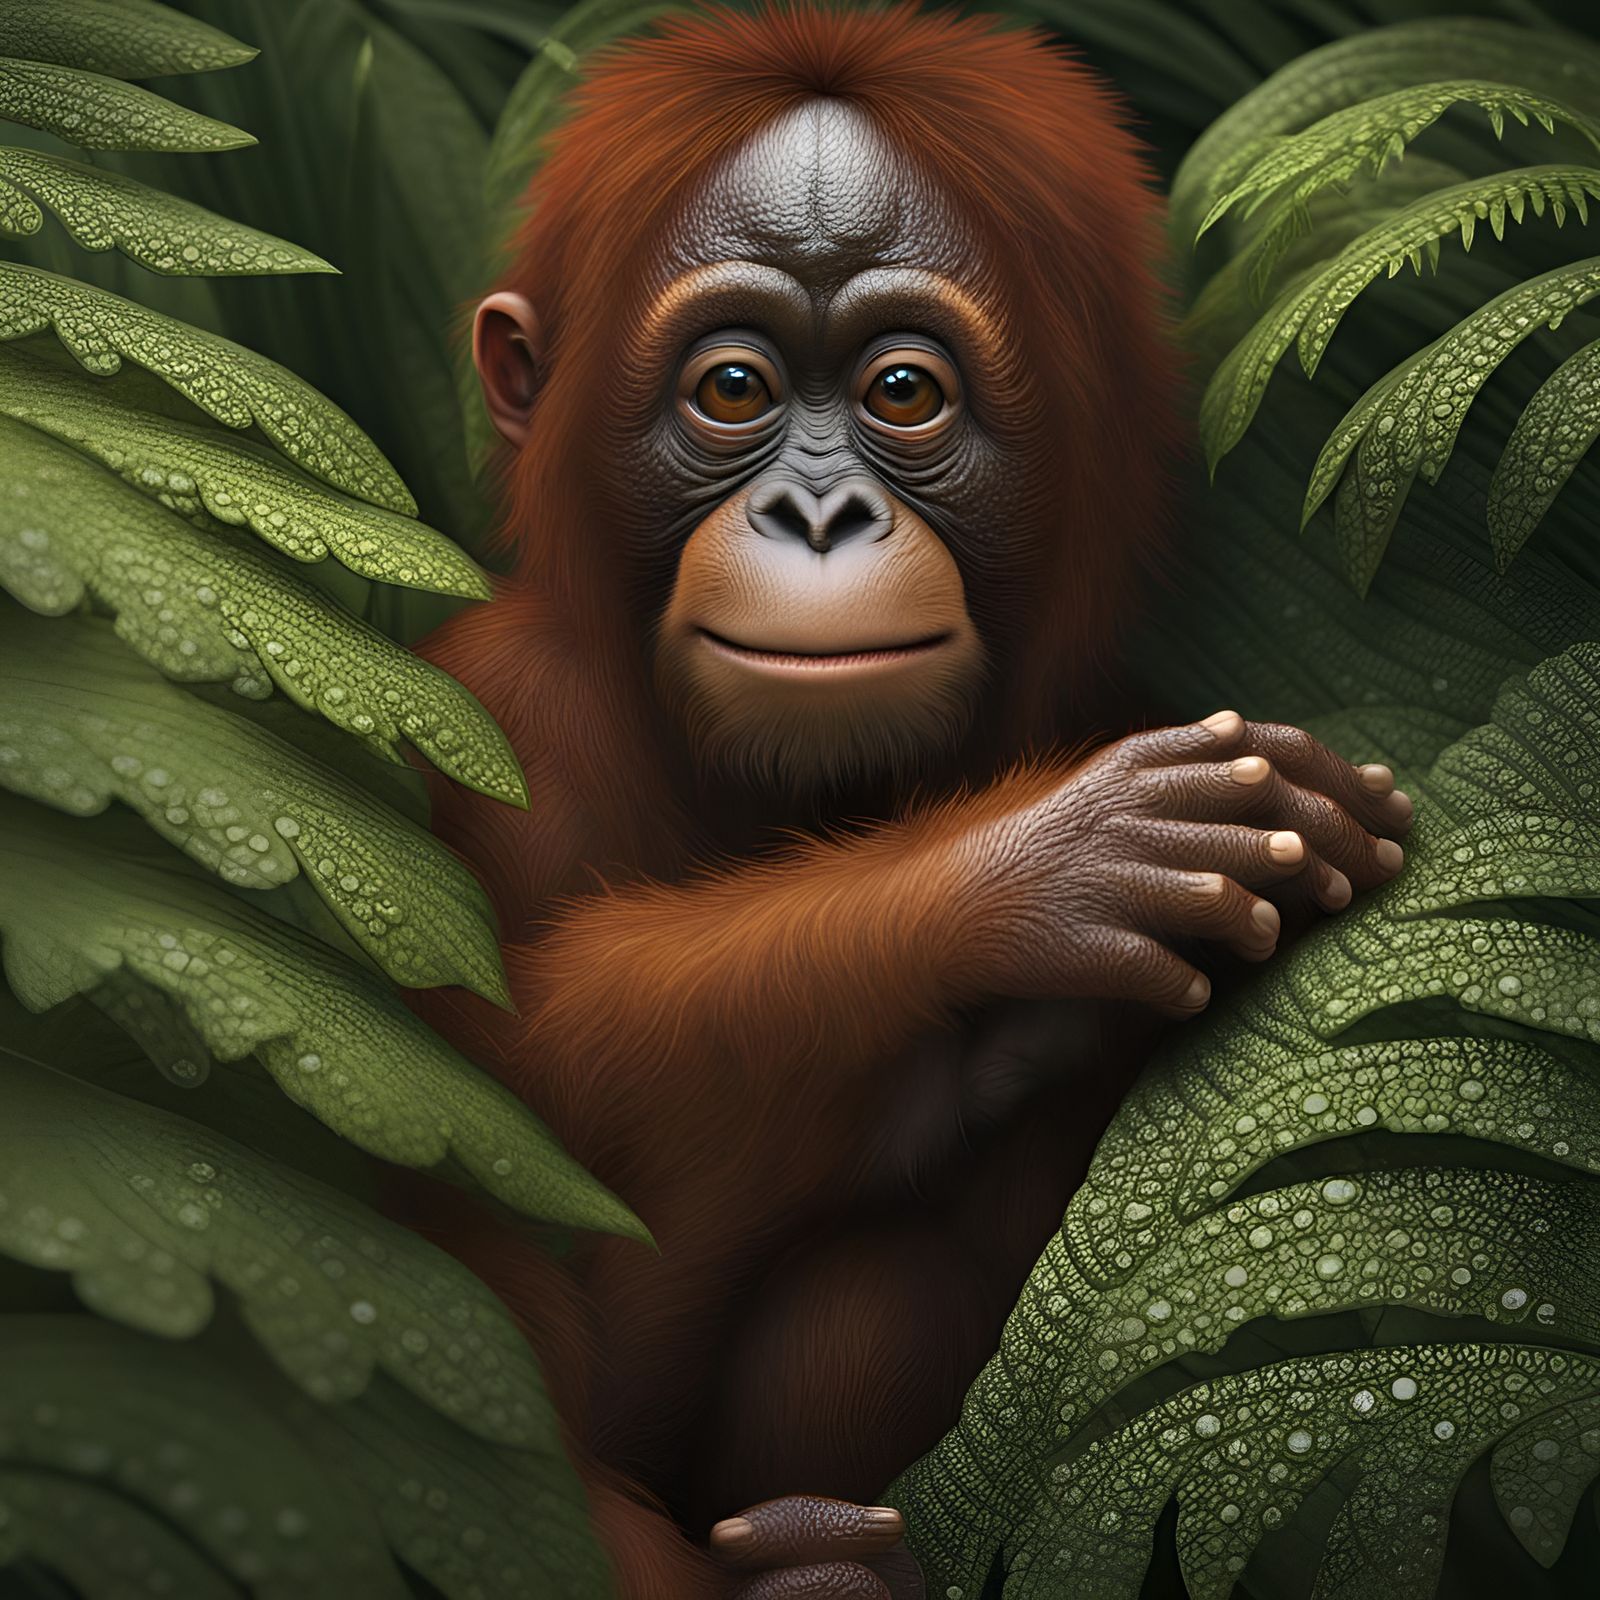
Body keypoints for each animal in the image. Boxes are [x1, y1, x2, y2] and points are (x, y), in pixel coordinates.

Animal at [408, 8, 1413, 1596]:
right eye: (733, 390)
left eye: (902, 393)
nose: (820, 515)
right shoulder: (485, 724)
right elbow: (484, 1091)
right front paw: (1036, 870)